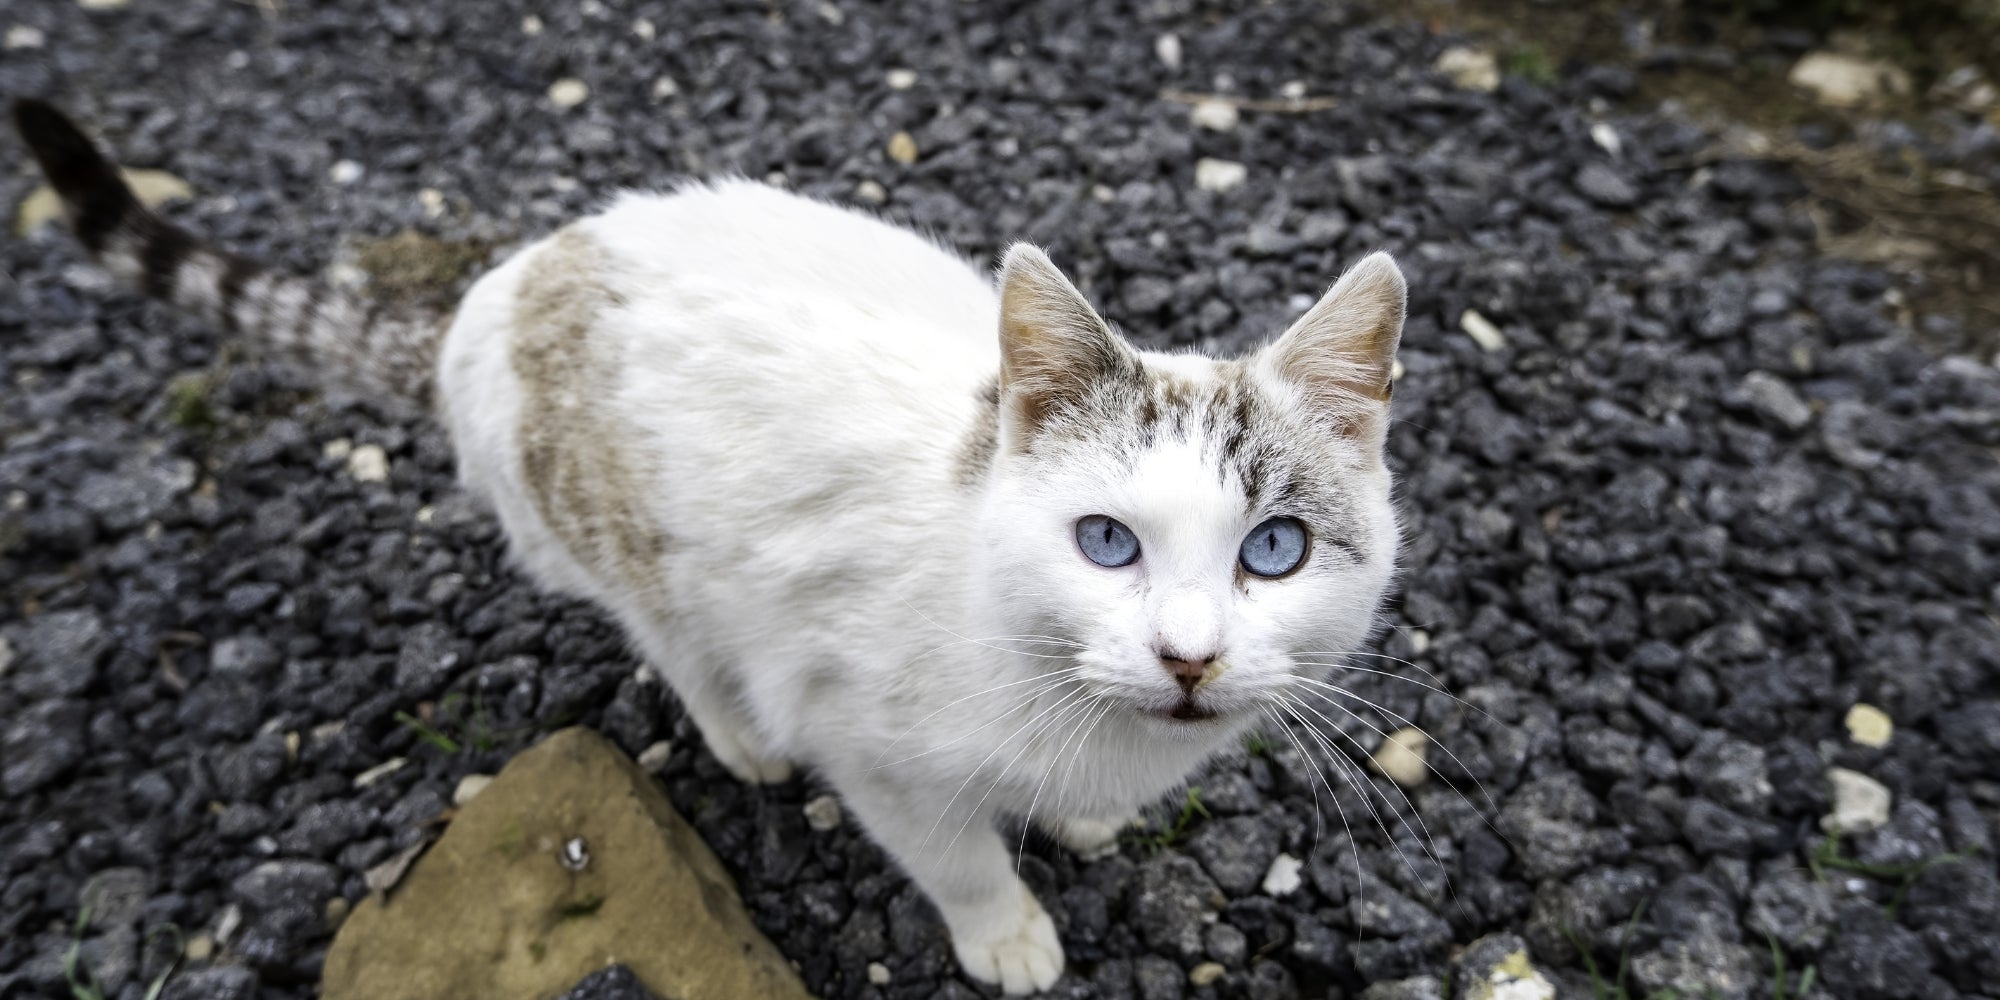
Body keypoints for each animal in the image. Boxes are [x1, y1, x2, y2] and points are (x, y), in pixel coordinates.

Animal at [11, 99, 1408, 992]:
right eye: (1106, 541)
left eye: (1273, 551)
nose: (1188, 657)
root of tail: (485, 298)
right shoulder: (874, 750)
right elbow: (954, 856)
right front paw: (1005, 933)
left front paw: (1080, 823)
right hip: (635, 557)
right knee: (673, 640)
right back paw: (740, 736)